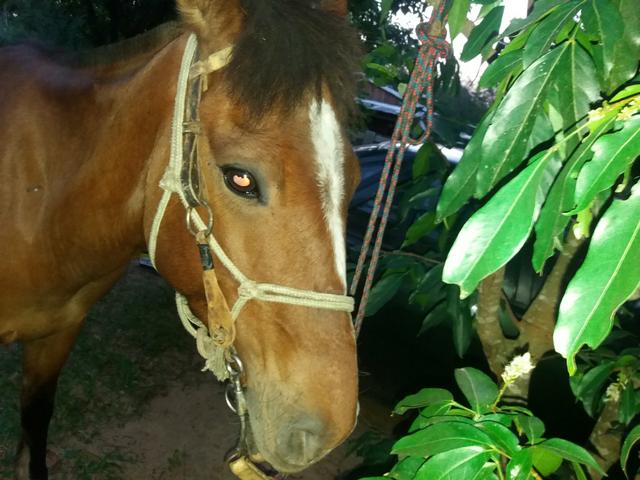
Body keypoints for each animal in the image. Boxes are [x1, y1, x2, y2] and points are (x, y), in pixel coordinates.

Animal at [0, 1, 362, 478]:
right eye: (240, 178)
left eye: (354, 180)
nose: (328, 430)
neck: (40, 195)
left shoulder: (56, 335)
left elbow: (35, 422)